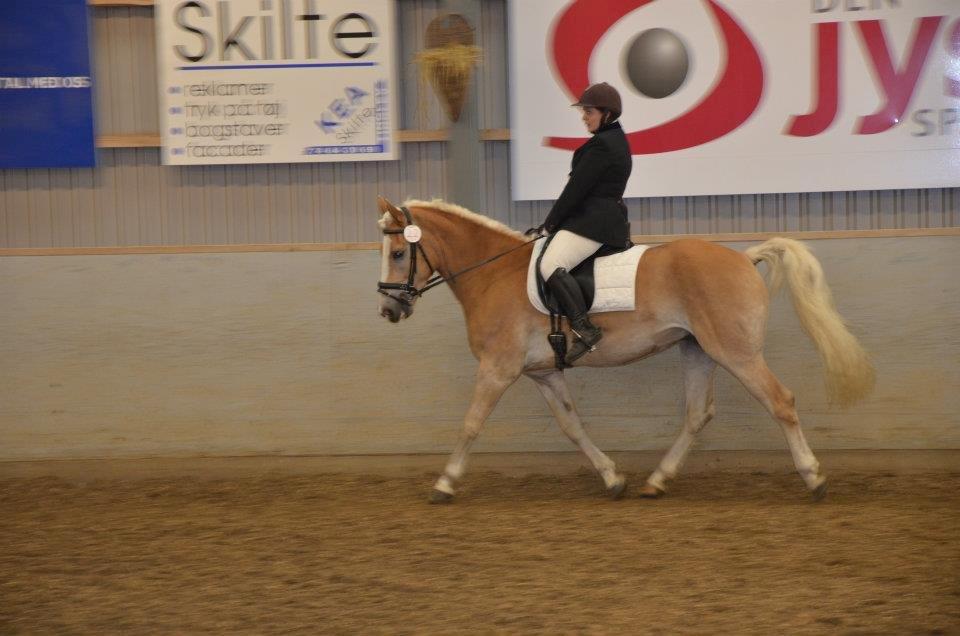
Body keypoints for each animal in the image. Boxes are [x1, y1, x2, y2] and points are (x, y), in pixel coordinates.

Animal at [376, 196, 876, 504]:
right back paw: (656, 481)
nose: (388, 309)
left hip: (736, 352)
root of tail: (743, 256)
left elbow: (471, 424)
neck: (493, 274)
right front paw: (613, 478)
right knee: (698, 413)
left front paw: (444, 483)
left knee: (781, 402)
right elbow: (573, 426)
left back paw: (814, 477)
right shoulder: (543, 372)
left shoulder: (498, 369)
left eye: (399, 253)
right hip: (698, 350)